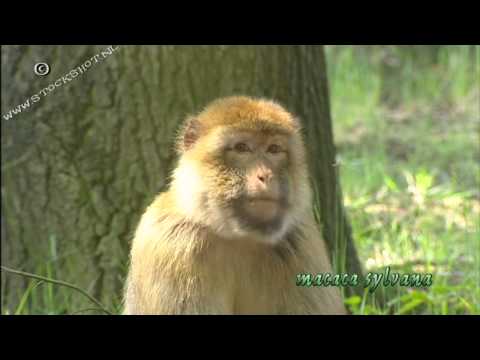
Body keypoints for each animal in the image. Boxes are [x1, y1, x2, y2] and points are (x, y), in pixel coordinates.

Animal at [124, 96, 346, 316]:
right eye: (241, 147)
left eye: (274, 149)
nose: (266, 175)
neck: (239, 237)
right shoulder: (174, 246)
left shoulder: (300, 240)